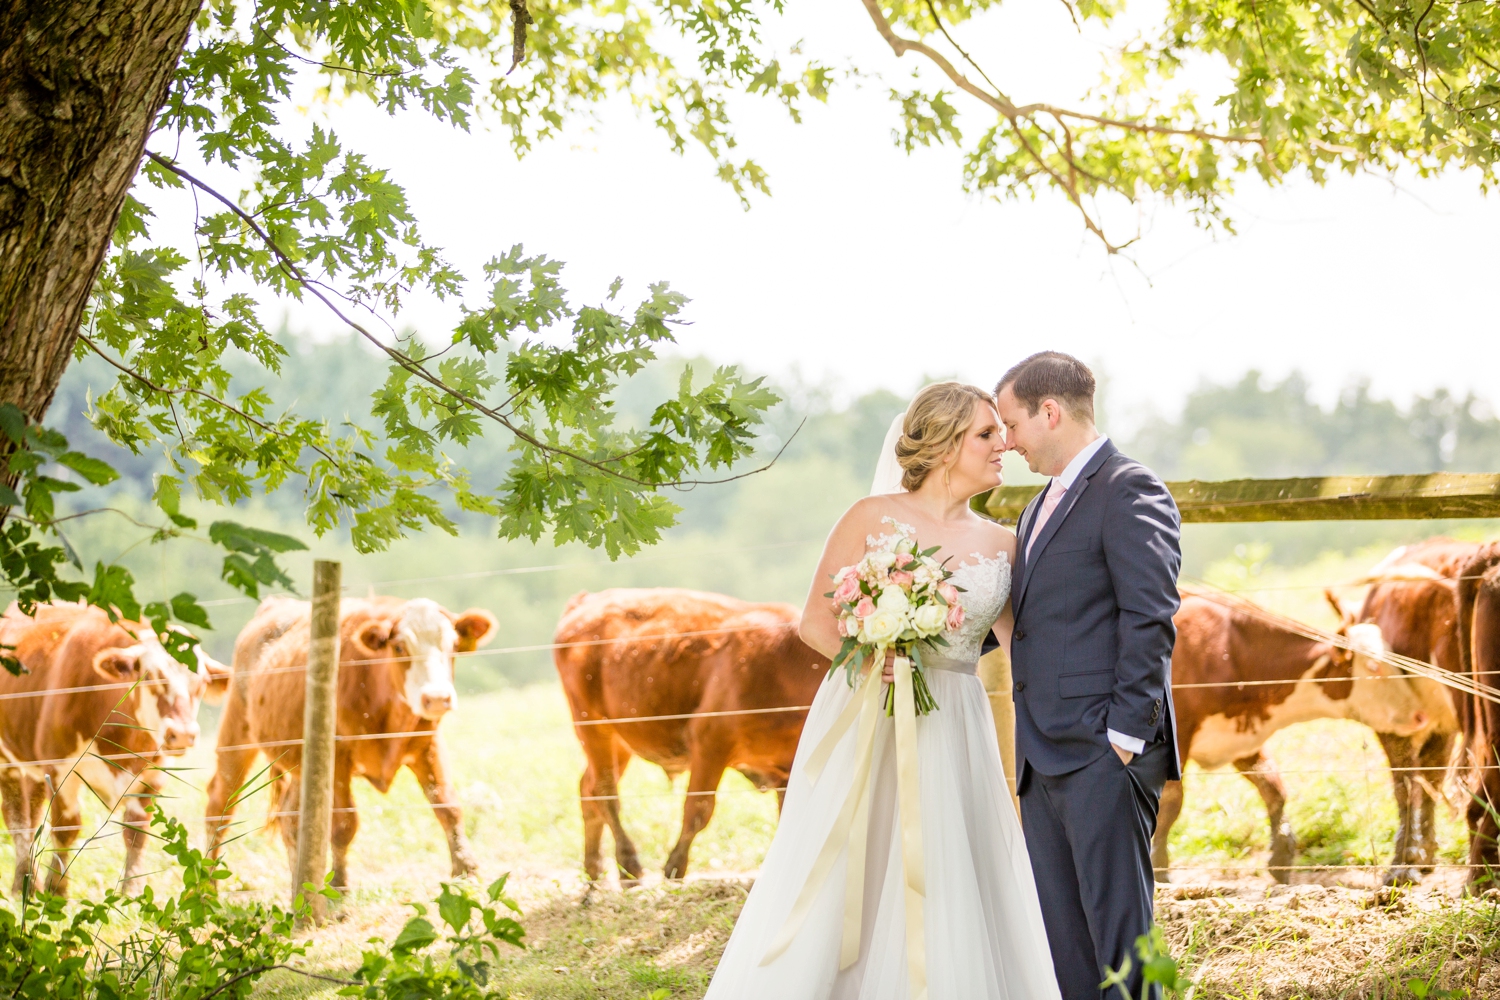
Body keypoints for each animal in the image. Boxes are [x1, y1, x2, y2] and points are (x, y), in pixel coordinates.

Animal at [0, 602, 228, 899]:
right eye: (150, 677)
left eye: (200, 682)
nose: (182, 734)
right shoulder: (60, 768)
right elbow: (66, 828)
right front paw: (55, 891)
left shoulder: (153, 774)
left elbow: (136, 832)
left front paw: (131, 890)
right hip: (8, 762)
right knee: (17, 818)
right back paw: (23, 884)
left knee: (32, 813)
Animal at [204, 593, 498, 881]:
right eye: (399, 648)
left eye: (453, 645)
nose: (437, 697)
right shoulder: (337, 759)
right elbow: (345, 824)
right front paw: (338, 885)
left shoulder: (428, 745)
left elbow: (448, 806)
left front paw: (467, 871)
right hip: (236, 732)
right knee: (220, 804)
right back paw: (206, 882)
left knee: (290, 819)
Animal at [555, 590, 828, 881]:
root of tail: (587, 601)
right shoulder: (710, 741)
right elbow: (698, 808)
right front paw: (675, 866)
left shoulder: (787, 769)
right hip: (592, 725)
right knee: (604, 791)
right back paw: (629, 865)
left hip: (620, 740)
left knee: (588, 788)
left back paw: (595, 868)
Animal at [1152, 593, 1434, 881]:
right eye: (1374, 666)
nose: (1421, 716)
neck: (1228, 652)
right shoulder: (1179, 735)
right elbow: (1172, 801)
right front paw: (1160, 868)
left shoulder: (1243, 737)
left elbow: (1272, 787)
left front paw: (1281, 855)